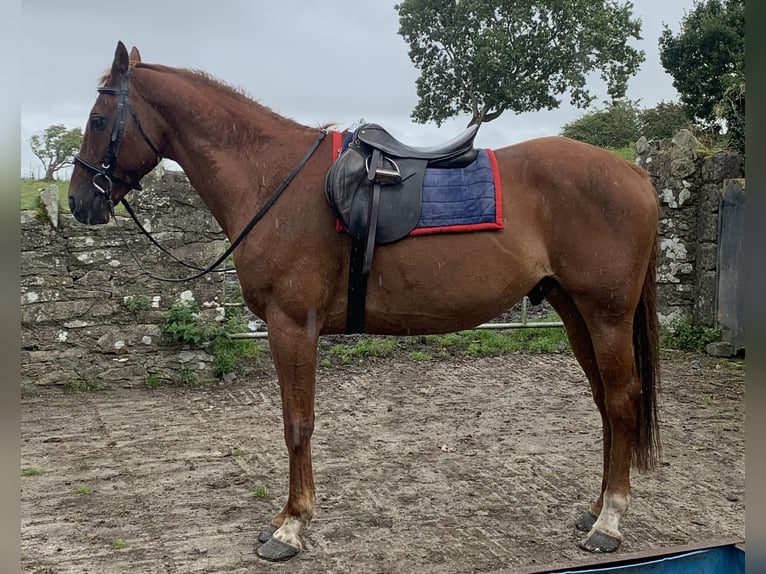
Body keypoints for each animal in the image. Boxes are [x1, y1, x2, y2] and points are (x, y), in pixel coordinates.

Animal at [69, 42, 664, 564]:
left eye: (98, 120)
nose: (78, 201)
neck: (274, 180)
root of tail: (635, 173)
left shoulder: (293, 326)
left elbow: (297, 423)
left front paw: (291, 526)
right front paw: (286, 518)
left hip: (606, 316)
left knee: (621, 401)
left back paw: (609, 522)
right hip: (575, 312)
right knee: (605, 404)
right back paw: (593, 509)